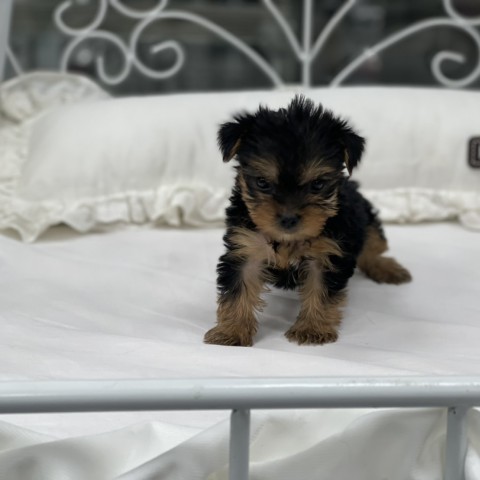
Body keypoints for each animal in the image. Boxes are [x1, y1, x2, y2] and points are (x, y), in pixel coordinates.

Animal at [204, 95, 411, 347]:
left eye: (318, 185)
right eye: (262, 183)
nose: (288, 219)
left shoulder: (328, 253)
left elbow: (320, 290)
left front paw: (312, 329)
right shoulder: (245, 246)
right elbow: (238, 288)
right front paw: (231, 331)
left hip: (363, 216)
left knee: (372, 244)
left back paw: (387, 268)